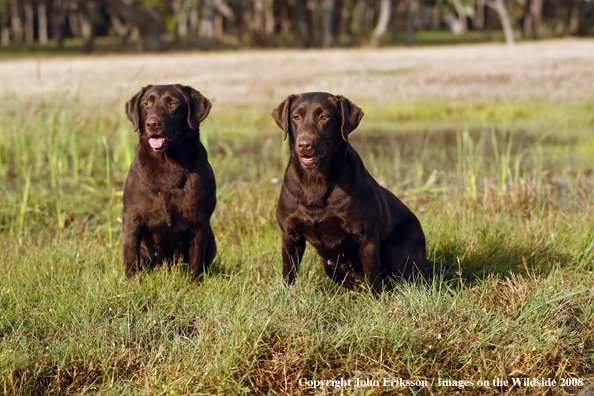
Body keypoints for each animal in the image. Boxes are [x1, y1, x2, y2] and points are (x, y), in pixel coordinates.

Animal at [121, 83, 216, 278]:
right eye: (147, 103)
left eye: (172, 103)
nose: (152, 123)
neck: (169, 163)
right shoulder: (132, 218)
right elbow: (130, 256)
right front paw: (131, 281)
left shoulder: (199, 221)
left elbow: (196, 262)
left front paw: (194, 282)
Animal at [270, 92, 424, 290]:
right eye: (296, 117)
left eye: (324, 117)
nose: (304, 145)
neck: (316, 182)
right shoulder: (290, 236)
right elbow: (288, 272)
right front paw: (287, 294)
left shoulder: (367, 237)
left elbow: (373, 276)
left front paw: (377, 298)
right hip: (331, 265)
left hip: (397, 252)